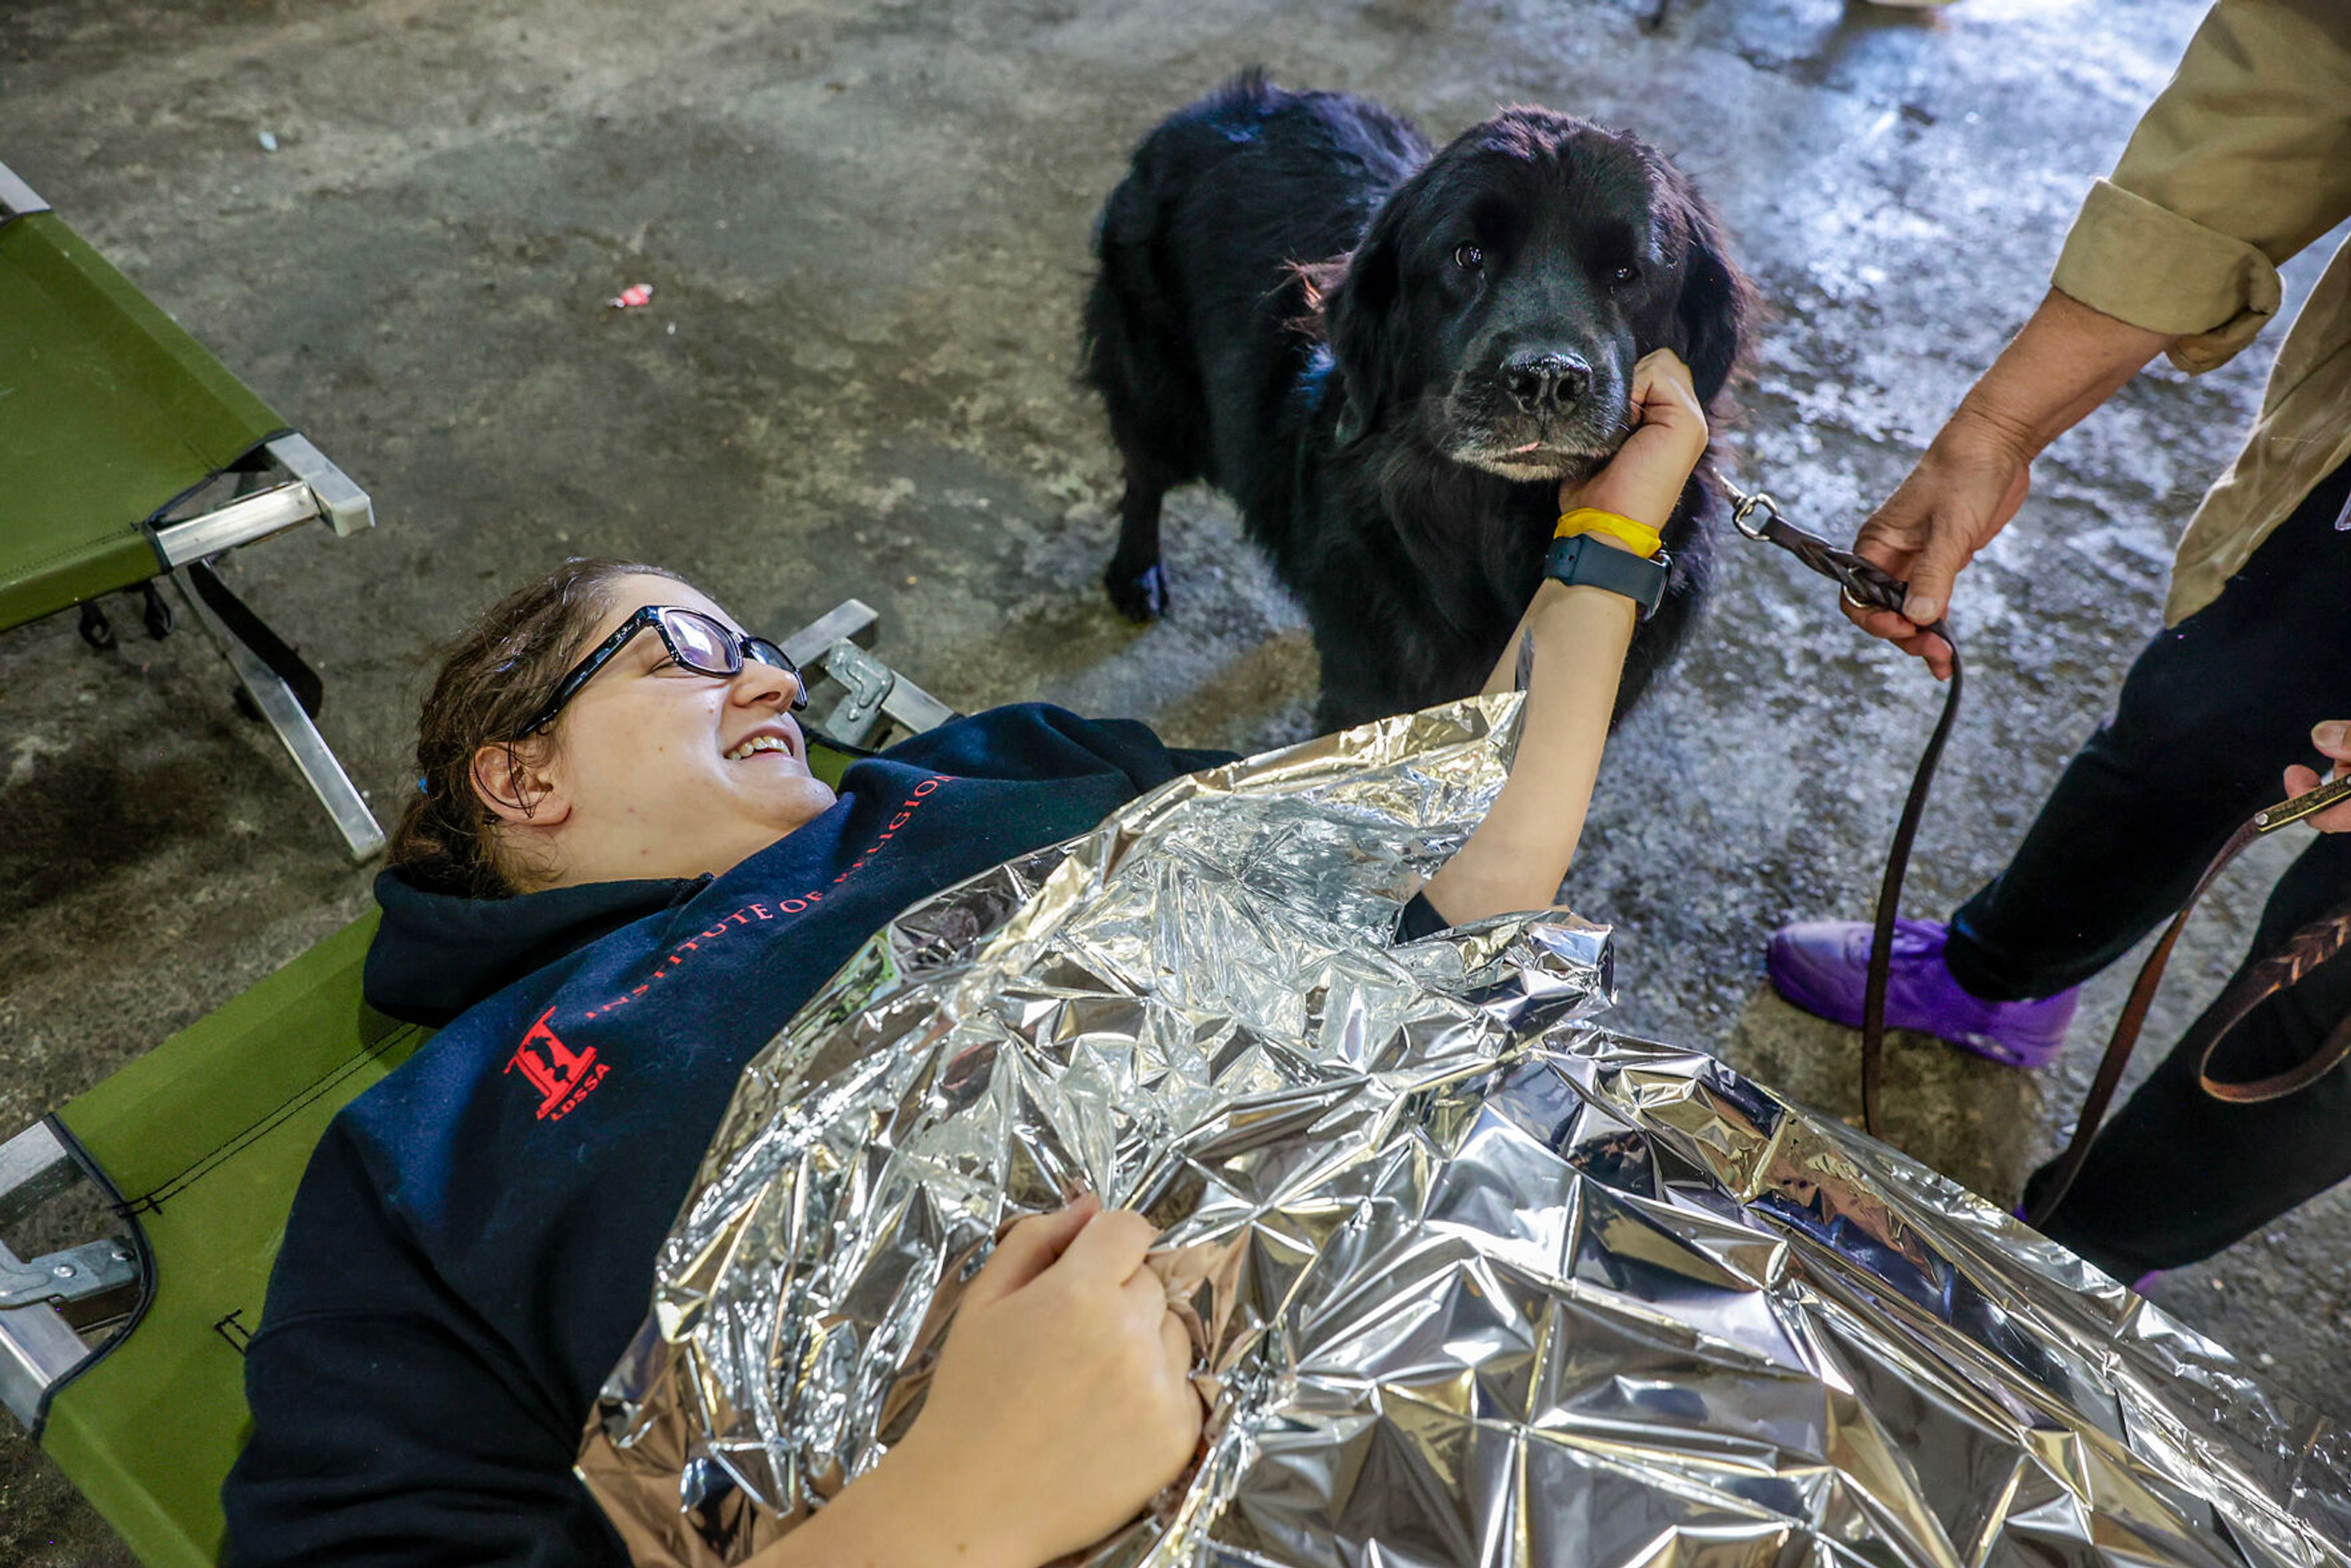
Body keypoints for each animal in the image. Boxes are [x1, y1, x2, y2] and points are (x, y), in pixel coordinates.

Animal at [1081, 76, 1749, 733]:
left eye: (1627, 272)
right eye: (1468, 255)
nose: (1547, 378)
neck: (1492, 520)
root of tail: (1228, 100)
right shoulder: (1367, 687)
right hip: (1157, 390)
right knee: (1144, 476)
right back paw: (1135, 574)